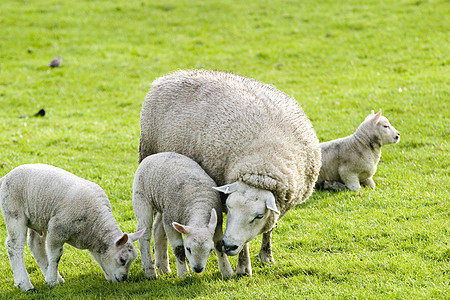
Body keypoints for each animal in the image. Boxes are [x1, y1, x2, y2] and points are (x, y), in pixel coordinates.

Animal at [0, 163, 143, 292]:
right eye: (123, 260)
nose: (124, 278)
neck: (95, 226)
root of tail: (6, 177)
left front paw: (51, 278)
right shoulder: (57, 228)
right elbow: (56, 256)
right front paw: (51, 282)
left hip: (37, 218)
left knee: (35, 245)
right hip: (14, 212)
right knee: (14, 246)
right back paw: (25, 284)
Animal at [139, 69, 322, 276]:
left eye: (259, 216)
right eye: (229, 207)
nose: (228, 246)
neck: (263, 164)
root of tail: (168, 77)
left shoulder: (279, 205)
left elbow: (268, 230)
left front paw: (266, 256)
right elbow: (245, 242)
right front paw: (243, 267)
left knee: (159, 225)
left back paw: (163, 265)